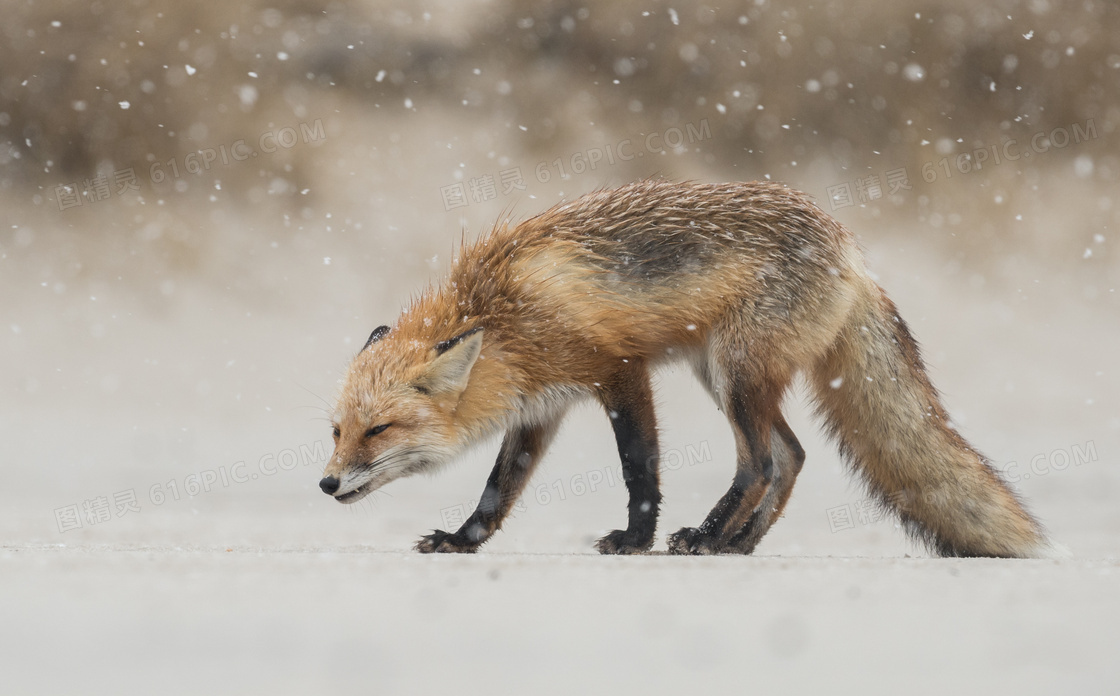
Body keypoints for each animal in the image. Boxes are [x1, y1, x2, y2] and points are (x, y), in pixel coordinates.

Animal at [322, 180, 1048, 558]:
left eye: (379, 431)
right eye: (336, 431)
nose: (326, 484)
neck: (504, 315)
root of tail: (851, 252)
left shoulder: (620, 369)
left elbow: (638, 469)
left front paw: (636, 538)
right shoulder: (542, 406)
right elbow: (499, 490)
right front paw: (463, 540)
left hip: (735, 374)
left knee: (764, 462)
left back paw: (706, 535)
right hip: (724, 376)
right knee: (791, 456)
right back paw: (736, 544)